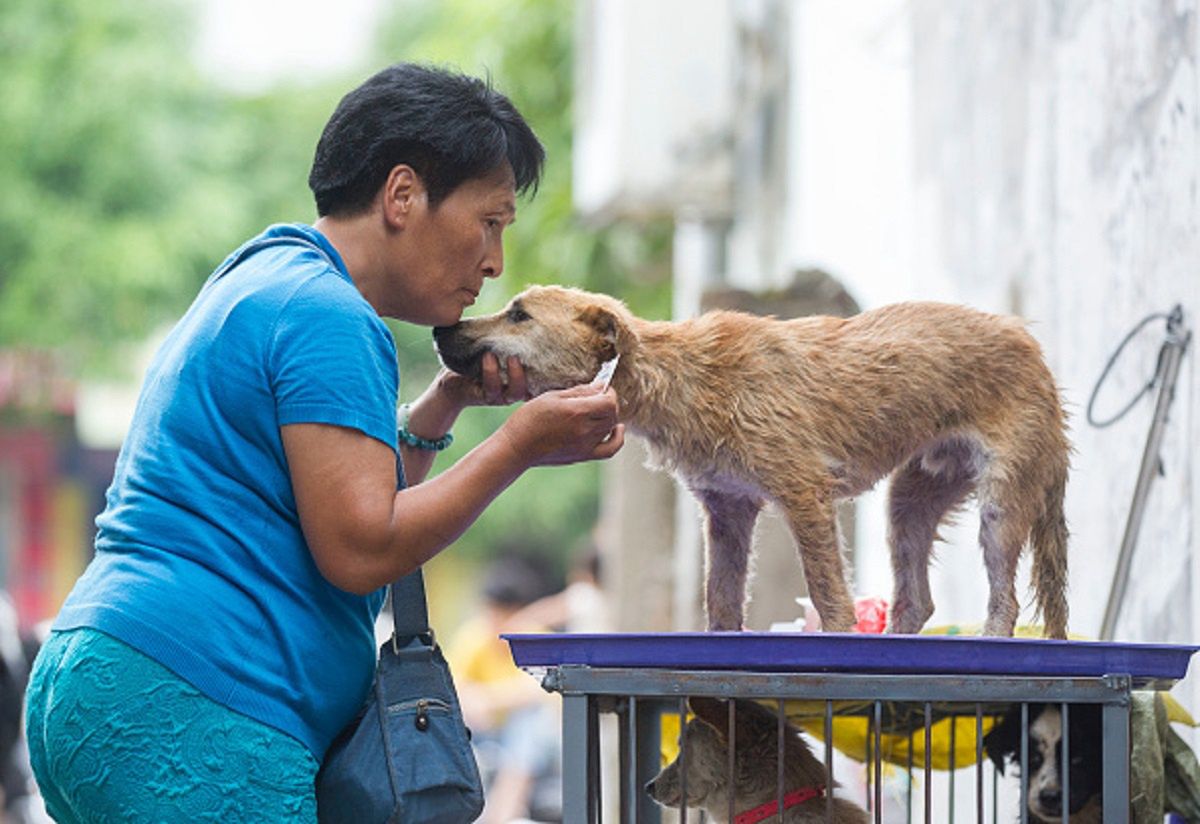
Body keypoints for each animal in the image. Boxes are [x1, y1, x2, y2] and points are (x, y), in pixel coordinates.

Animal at [436, 285, 1075, 638]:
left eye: (519, 315)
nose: (442, 330)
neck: (679, 374)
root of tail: (1037, 353)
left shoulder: (804, 493)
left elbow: (828, 594)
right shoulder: (726, 511)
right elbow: (720, 597)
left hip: (1002, 504)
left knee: (1006, 596)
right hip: (910, 501)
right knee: (917, 597)